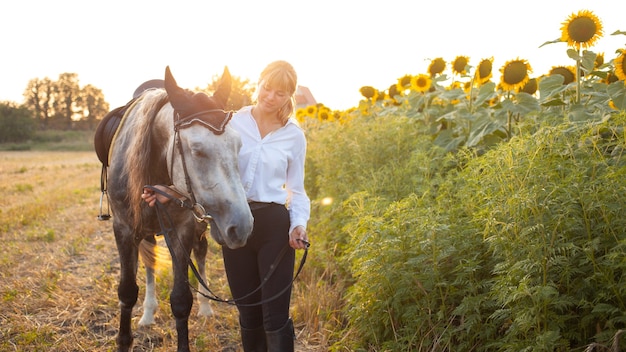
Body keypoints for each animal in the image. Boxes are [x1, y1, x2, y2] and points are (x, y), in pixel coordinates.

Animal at [103, 66, 252, 352]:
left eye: (239, 146)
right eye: (197, 150)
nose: (242, 226)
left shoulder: (182, 230)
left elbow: (181, 300)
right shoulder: (123, 229)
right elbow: (127, 291)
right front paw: (125, 339)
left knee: (201, 254)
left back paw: (205, 307)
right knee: (150, 265)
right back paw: (148, 313)